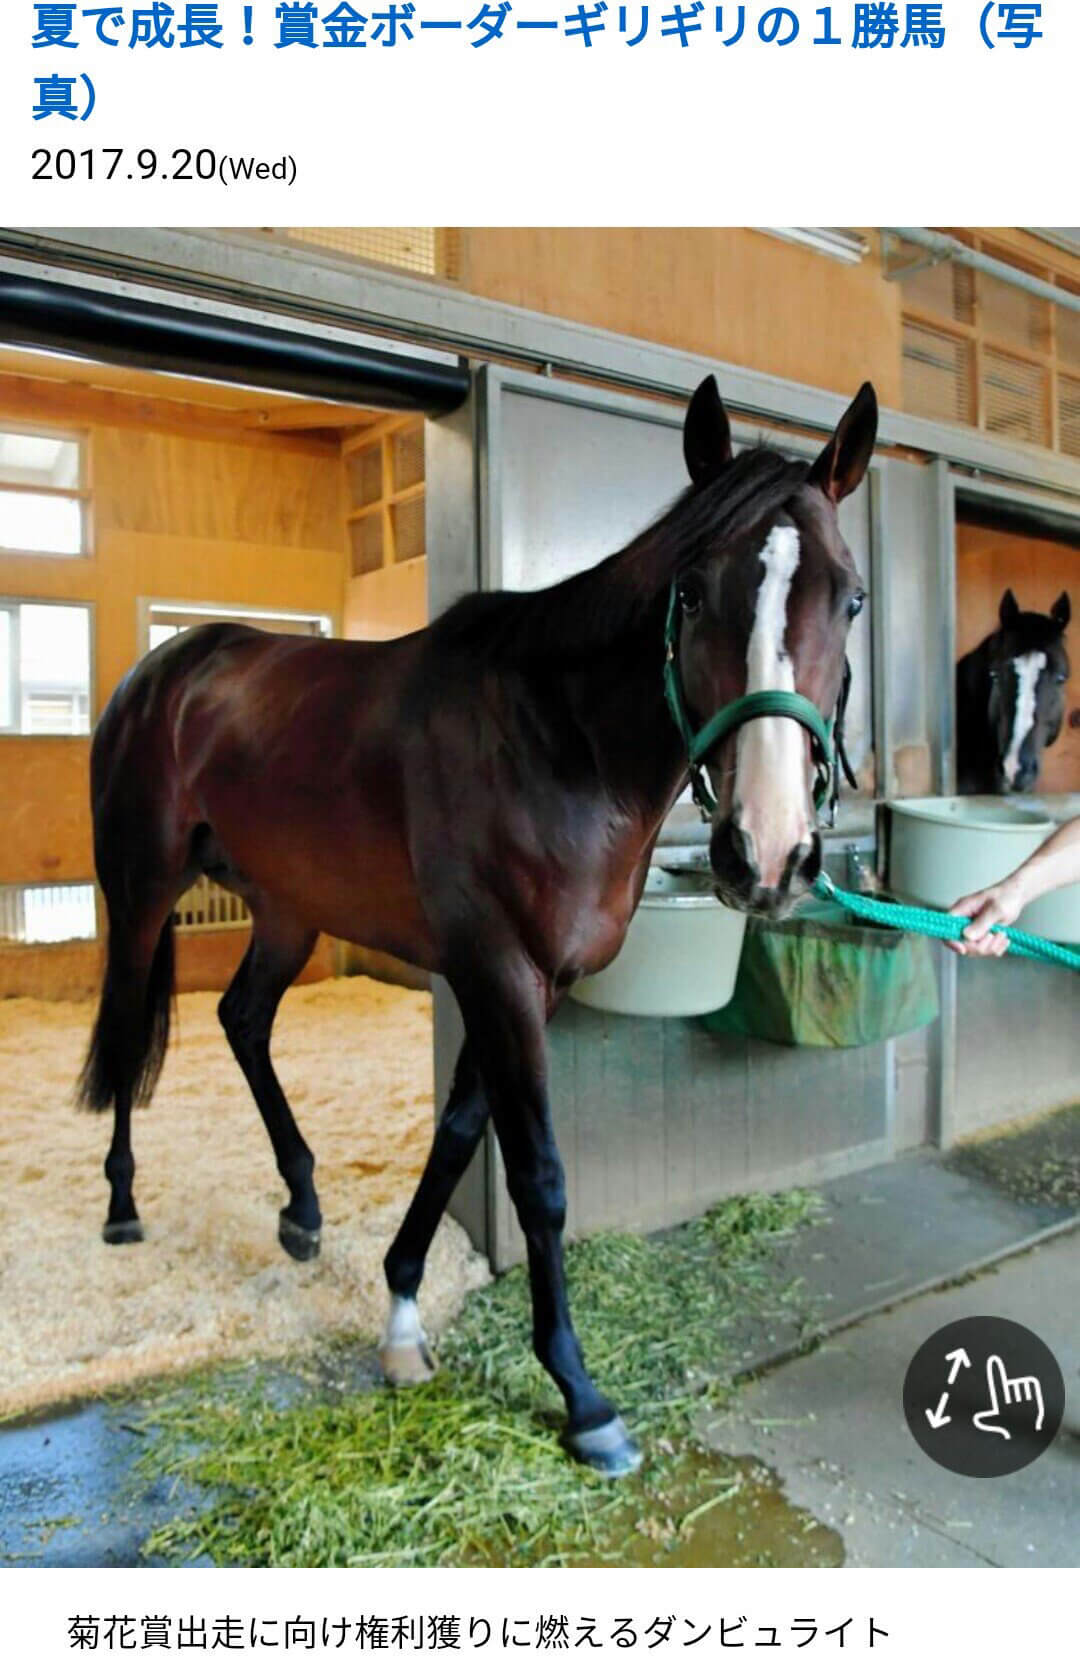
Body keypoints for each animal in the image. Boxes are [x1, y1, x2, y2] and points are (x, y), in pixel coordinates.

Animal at [78, 374, 877, 1476]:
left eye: (850, 597)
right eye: (694, 591)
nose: (765, 851)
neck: (556, 738)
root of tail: (164, 671)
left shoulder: (526, 980)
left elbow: (459, 1134)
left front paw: (403, 1315)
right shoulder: (498, 972)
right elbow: (536, 1175)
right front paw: (583, 1397)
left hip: (287, 907)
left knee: (242, 1018)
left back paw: (302, 1208)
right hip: (144, 888)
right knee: (127, 1025)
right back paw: (122, 1207)